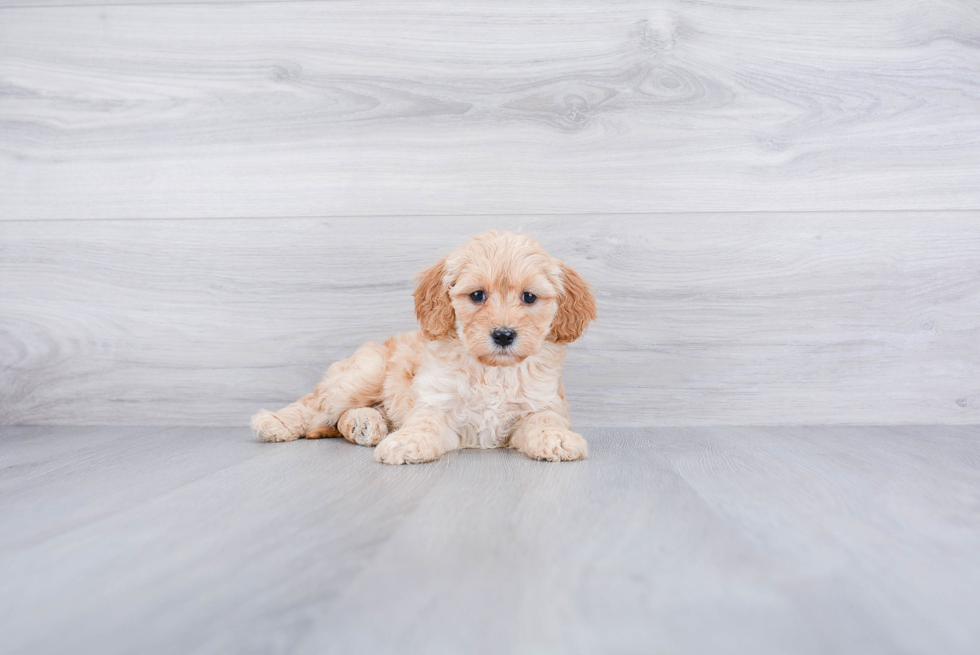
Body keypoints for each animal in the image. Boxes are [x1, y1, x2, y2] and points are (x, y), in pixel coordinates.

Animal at [251, 232, 596, 466]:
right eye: (477, 295)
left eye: (529, 297)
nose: (503, 335)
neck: (492, 370)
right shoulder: (437, 404)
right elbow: (424, 423)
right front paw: (405, 442)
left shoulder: (542, 403)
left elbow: (545, 421)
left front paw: (558, 439)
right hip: (365, 372)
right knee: (316, 405)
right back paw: (276, 423)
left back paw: (365, 425)